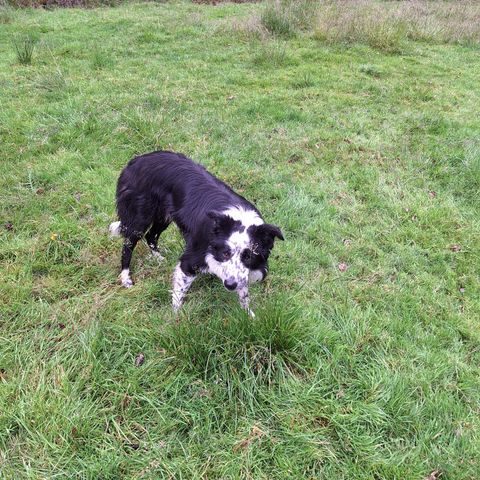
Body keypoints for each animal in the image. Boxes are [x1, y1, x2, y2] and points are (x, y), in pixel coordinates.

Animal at [110, 150, 284, 316]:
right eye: (225, 253)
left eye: (248, 257)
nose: (229, 285)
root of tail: (137, 160)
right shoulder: (190, 261)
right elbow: (179, 294)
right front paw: (176, 319)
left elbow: (244, 294)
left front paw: (248, 315)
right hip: (140, 218)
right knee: (128, 244)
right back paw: (125, 277)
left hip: (163, 216)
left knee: (150, 235)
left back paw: (158, 258)